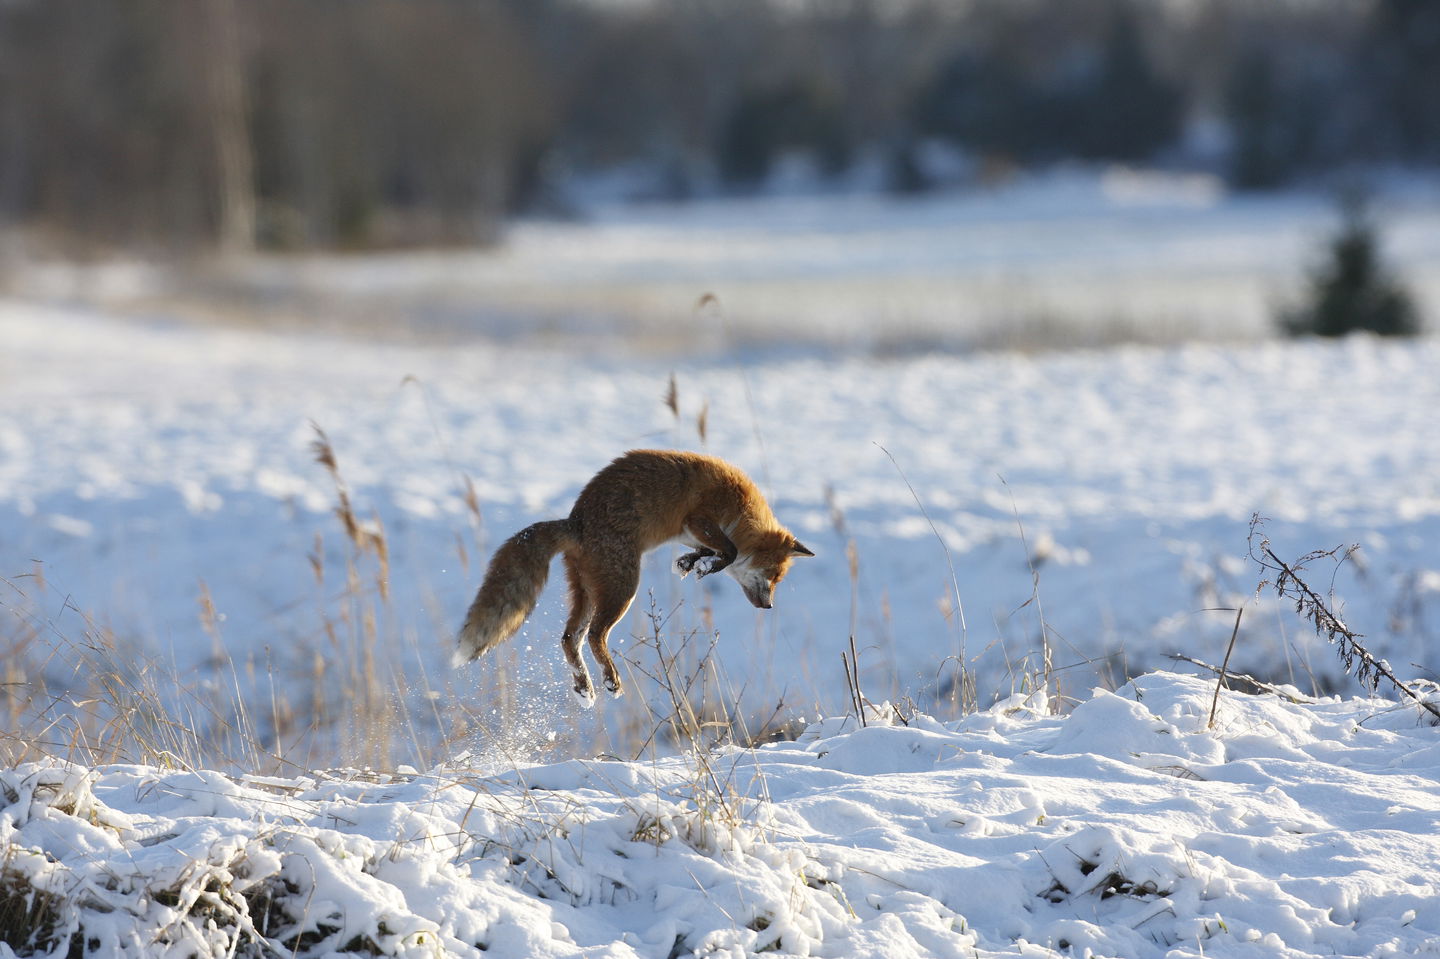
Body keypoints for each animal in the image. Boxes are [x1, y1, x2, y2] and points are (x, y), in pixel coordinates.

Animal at [455, 449, 812, 702]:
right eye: (773, 576)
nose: (768, 606)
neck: (743, 510)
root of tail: (574, 521)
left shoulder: (690, 532)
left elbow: (707, 552)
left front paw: (690, 563)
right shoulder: (699, 519)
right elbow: (731, 551)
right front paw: (707, 565)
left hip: (588, 591)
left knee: (570, 638)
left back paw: (585, 688)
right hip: (623, 589)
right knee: (595, 635)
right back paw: (610, 680)